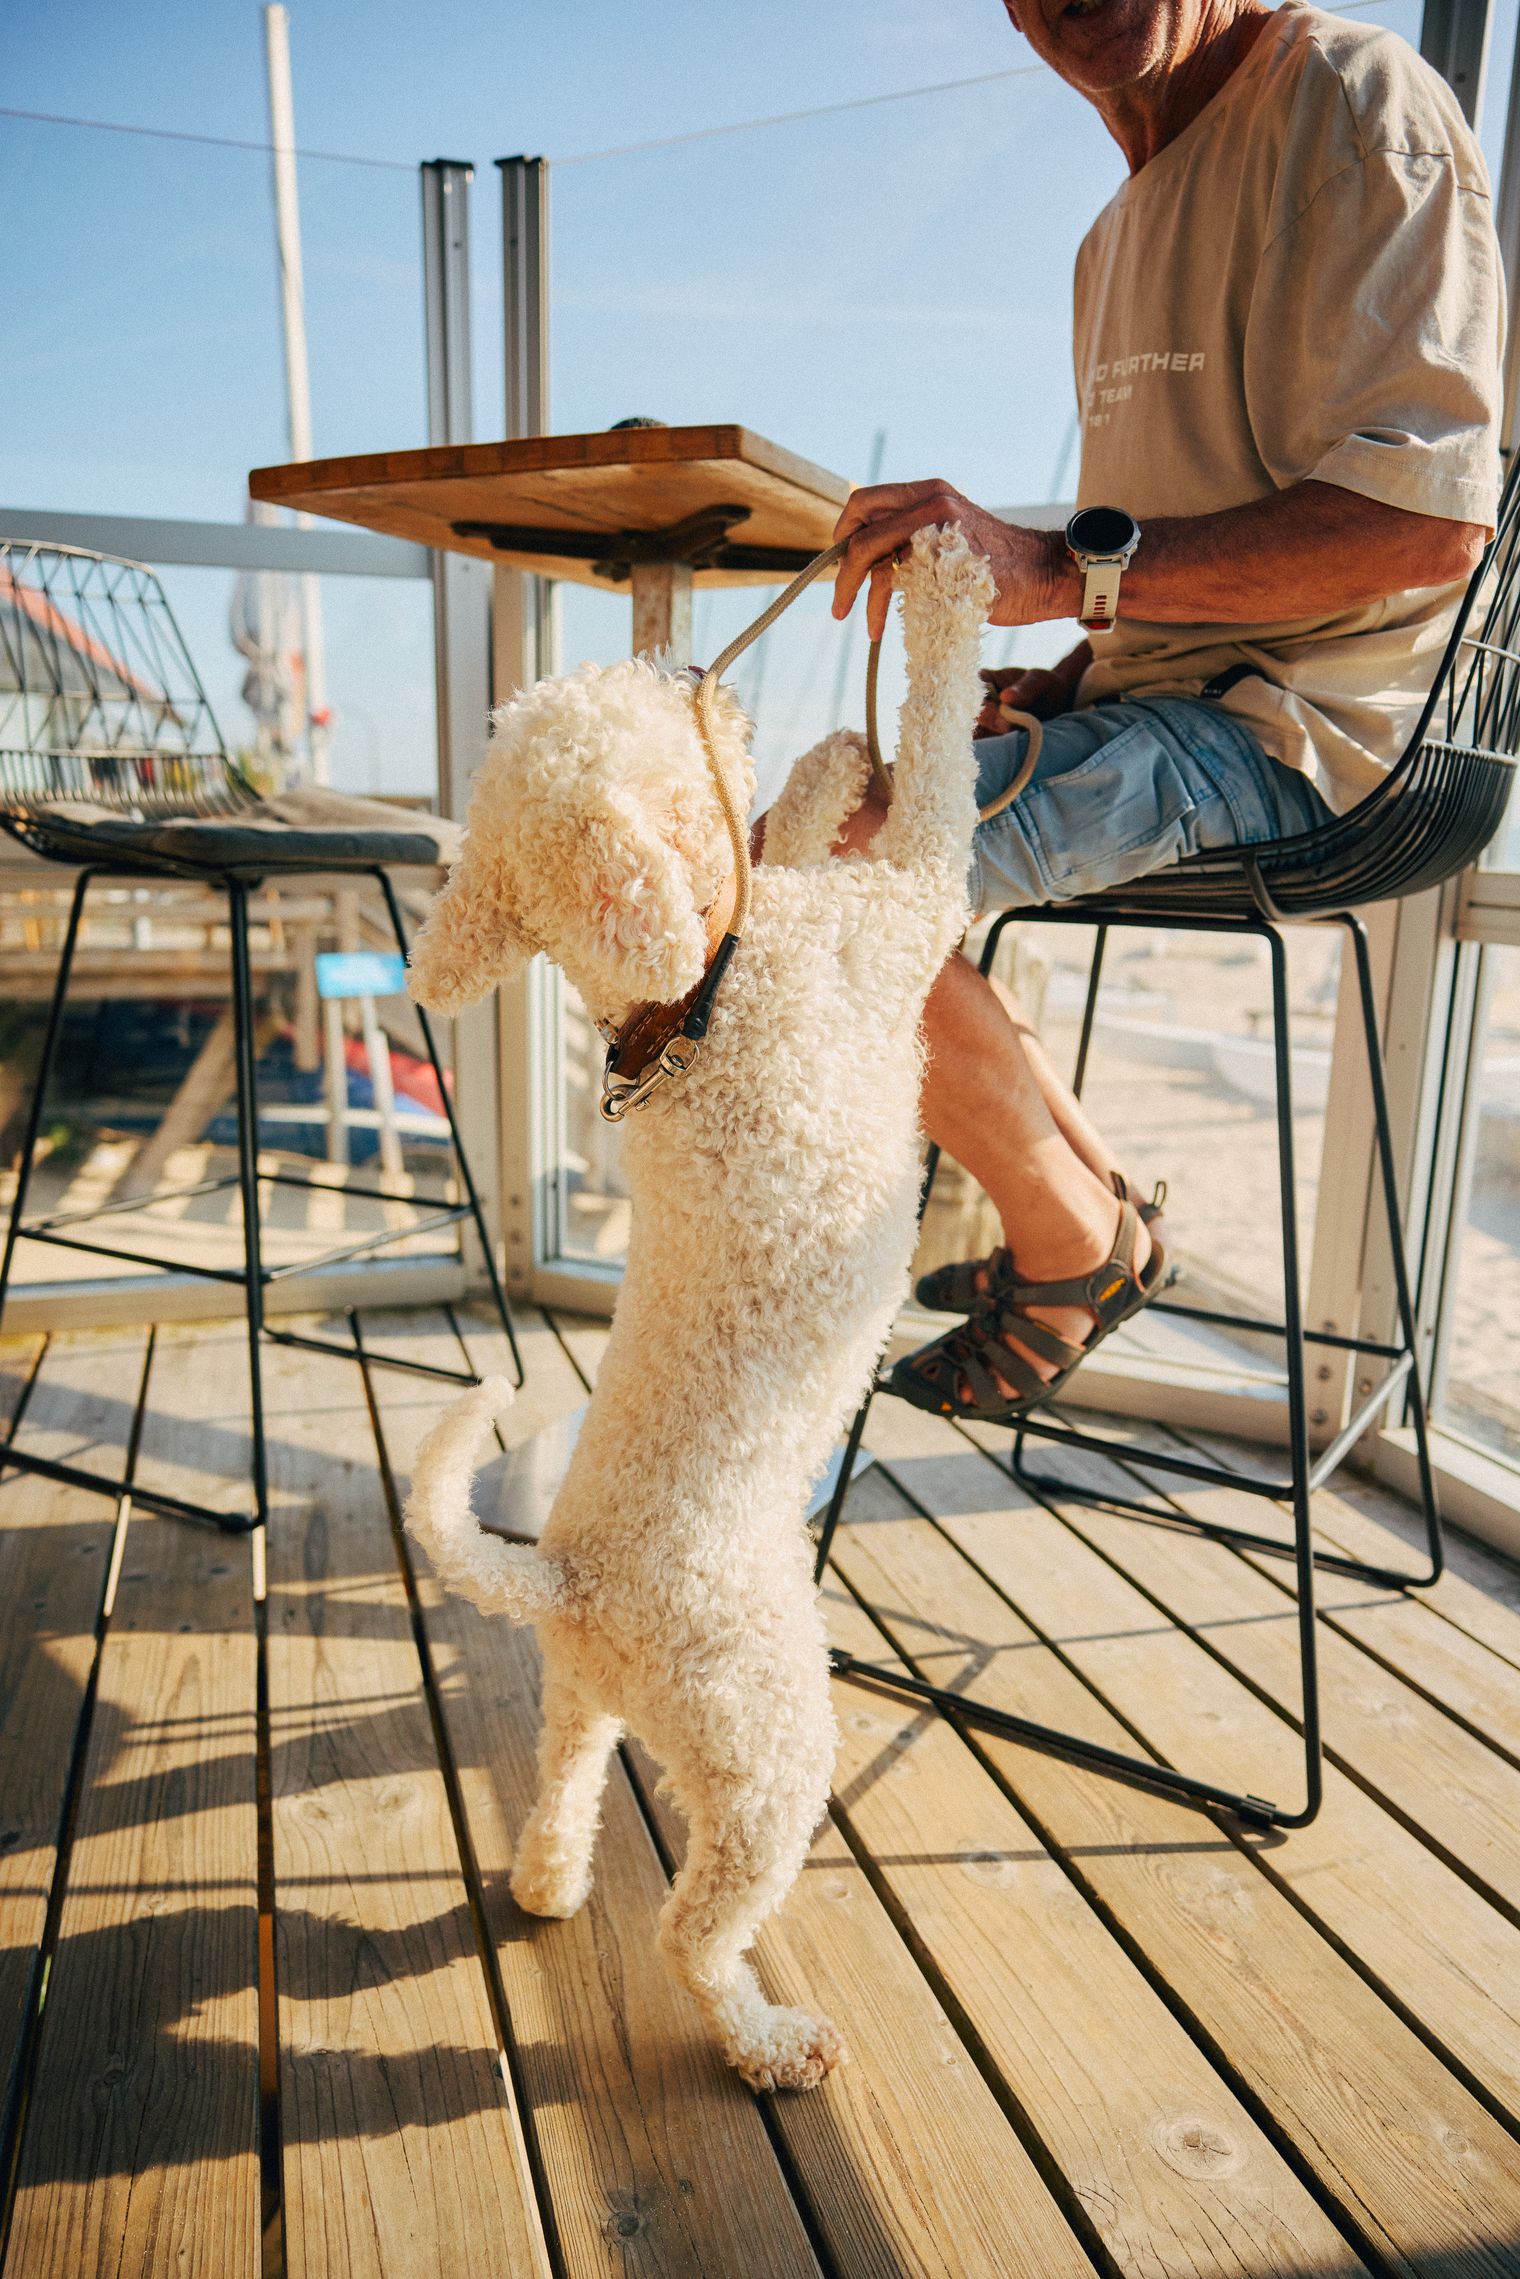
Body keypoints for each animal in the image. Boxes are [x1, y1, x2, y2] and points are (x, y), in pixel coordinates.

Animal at [407, 524, 998, 2087]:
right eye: (657, 707)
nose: (698, 665)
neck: (692, 998)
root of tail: (570, 1581)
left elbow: (789, 833)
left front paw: (822, 773)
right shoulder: (909, 903)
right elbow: (942, 761)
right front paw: (947, 585)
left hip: (581, 1695)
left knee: (556, 1793)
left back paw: (548, 1885)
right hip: (770, 1743)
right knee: (692, 1930)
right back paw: (768, 2038)